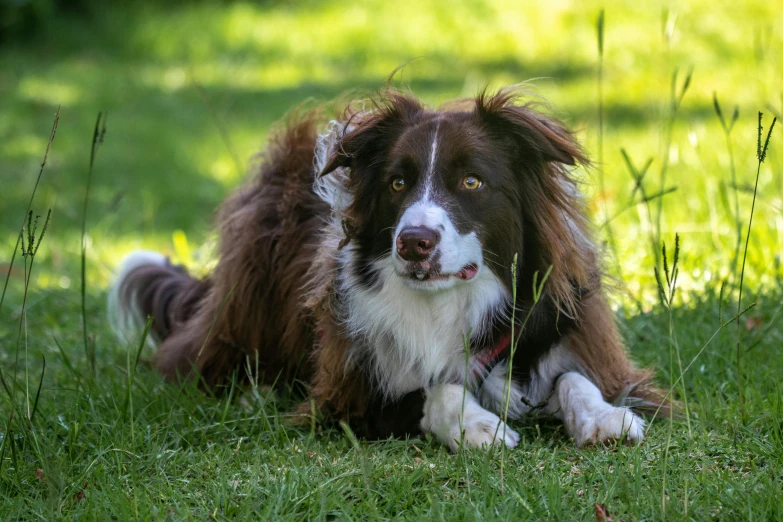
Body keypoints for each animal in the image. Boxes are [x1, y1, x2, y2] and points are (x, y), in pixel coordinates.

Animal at [107, 87, 664, 448]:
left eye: (472, 182)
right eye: (398, 183)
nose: (413, 243)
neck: (453, 304)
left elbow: (574, 377)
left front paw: (606, 417)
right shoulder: (346, 397)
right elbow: (434, 388)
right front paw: (477, 425)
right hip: (248, 285)